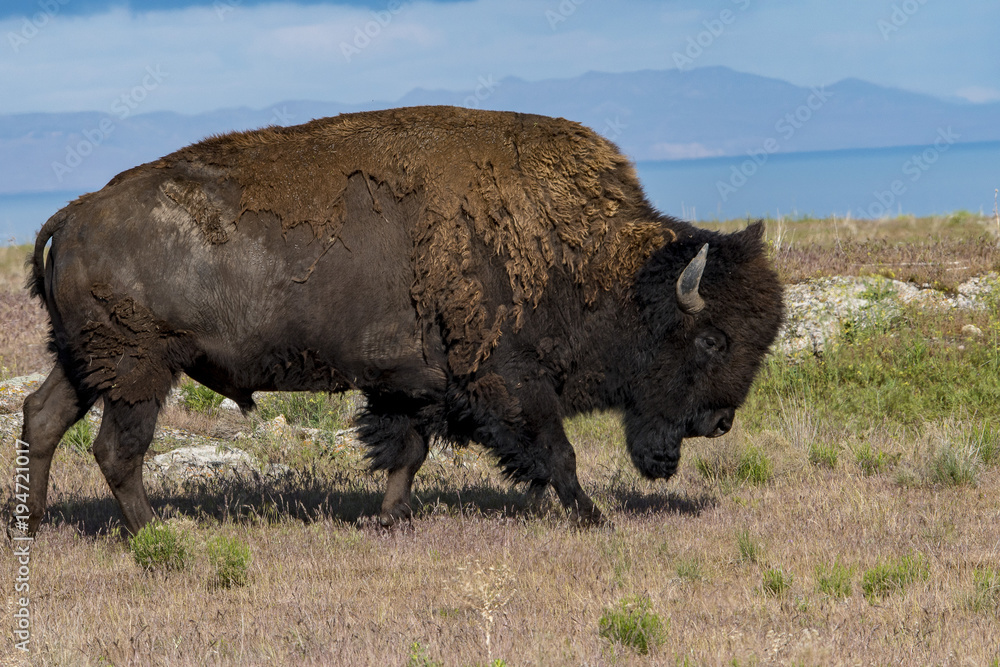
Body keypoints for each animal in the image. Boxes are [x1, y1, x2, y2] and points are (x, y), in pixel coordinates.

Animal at [18, 106, 783, 535]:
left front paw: (391, 518)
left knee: (42, 417)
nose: (719, 422)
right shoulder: (507, 378)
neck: (581, 254)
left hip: (84, 360)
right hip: (138, 370)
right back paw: (156, 533)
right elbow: (555, 451)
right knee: (116, 449)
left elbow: (408, 452)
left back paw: (36, 522)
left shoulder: (414, 383)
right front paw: (592, 518)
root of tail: (75, 213)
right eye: (712, 338)